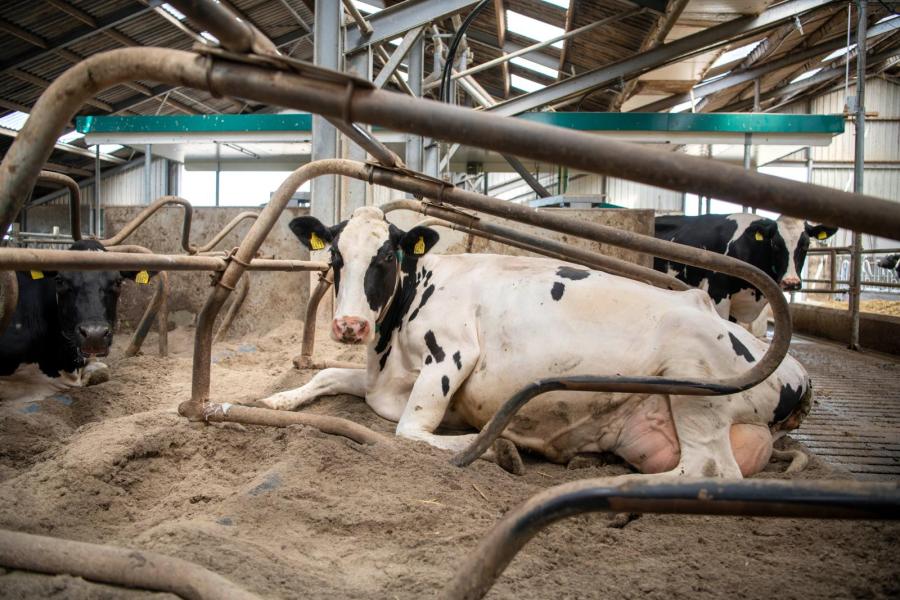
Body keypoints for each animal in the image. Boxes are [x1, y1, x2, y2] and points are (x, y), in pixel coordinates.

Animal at [256, 209, 812, 480]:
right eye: (334, 257)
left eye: (388, 256)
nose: (350, 326)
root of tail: (798, 375)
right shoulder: (382, 375)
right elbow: (326, 374)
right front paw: (275, 399)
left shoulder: (452, 353)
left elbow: (409, 431)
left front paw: (491, 445)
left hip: (694, 379)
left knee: (708, 471)